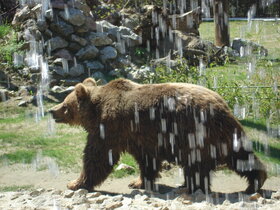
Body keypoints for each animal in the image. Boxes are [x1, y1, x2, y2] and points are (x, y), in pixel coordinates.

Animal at [49, 78, 266, 194]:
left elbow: (97, 157)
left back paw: (190, 187)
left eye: (65, 105)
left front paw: (75, 183)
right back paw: (256, 180)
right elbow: (146, 161)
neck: (95, 111)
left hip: (195, 132)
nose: (52, 111)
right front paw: (138, 182)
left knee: (199, 164)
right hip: (219, 135)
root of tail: (223, 104)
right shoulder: (140, 137)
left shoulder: (110, 128)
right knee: (240, 155)